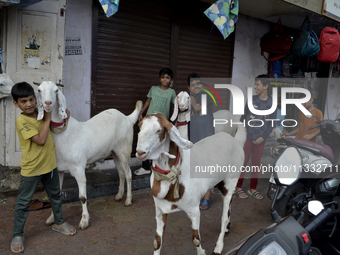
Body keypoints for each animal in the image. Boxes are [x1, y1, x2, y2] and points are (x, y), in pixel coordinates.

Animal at [36, 81, 143, 229]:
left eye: (56, 90)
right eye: (39, 90)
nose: (47, 103)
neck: (64, 134)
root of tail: (128, 118)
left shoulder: (79, 169)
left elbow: (82, 197)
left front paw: (84, 221)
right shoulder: (59, 170)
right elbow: (56, 195)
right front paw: (52, 218)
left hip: (124, 150)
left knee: (128, 174)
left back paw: (128, 200)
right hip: (114, 152)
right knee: (121, 173)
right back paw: (119, 195)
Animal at [136, 114, 247, 255]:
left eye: (159, 130)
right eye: (139, 127)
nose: (140, 152)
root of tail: (235, 141)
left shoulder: (194, 209)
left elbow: (195, 239)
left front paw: (202, 252)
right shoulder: (160, 211)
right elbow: (157, 241)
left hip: (232, 179)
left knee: (224, 216)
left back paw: (218, 247)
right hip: (220, 183)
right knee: (228, 207)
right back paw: (227, 229)